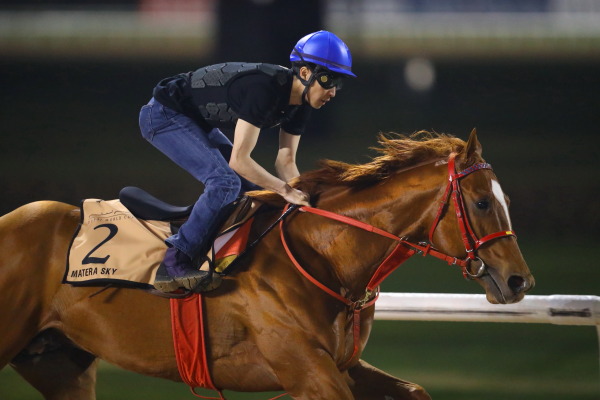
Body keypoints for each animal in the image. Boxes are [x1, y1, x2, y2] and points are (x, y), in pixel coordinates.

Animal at [0, 130, 536, 398]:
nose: (519, 280)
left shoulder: (342, 364)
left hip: (58, 363)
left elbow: (415, 390)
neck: (325, 256)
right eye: (482, 203)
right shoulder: (307, 371)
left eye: (505, 200)